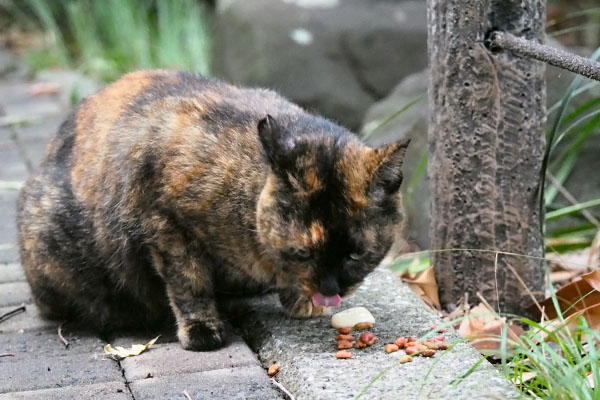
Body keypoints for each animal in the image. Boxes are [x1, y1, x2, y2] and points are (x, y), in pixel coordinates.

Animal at [17, 71, 408, 350]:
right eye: (302, 253)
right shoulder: (165, 223)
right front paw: (202, 328)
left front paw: (299, 299)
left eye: (357, 254)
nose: (330, 289)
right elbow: (189, 283)